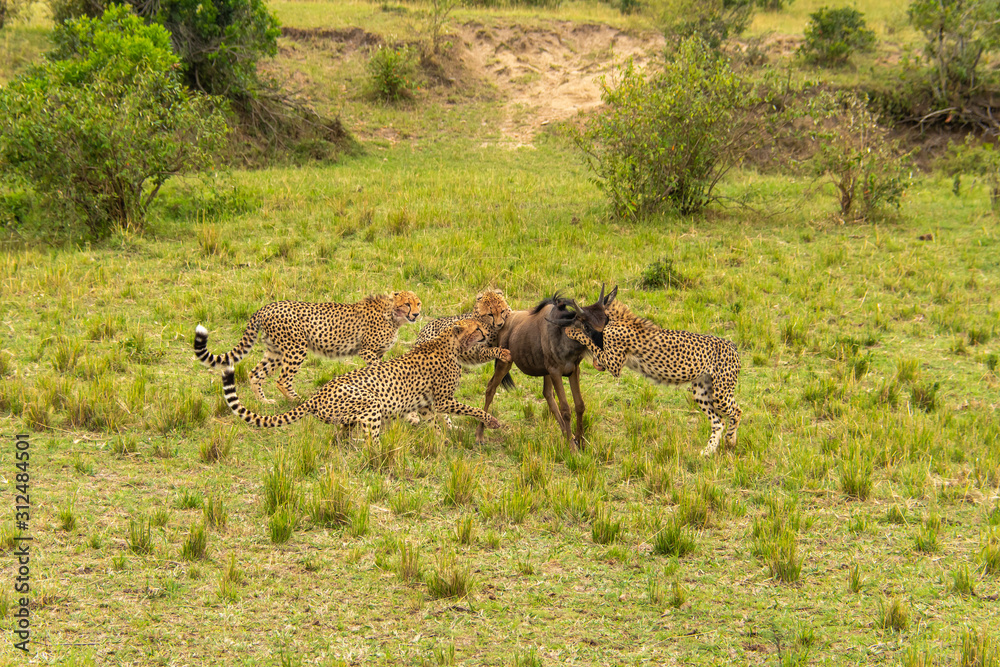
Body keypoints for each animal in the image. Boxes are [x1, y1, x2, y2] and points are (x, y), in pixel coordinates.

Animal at [195, 291, 421, 404]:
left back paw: (264, 402)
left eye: (418, 303)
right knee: (282, 379)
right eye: (408, 303)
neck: (394, 314)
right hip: (296, 348)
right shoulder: (367, 350)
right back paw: (298, 400)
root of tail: (266, 307)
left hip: (275, 351)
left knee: (255, 373)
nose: (418, 314)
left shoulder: (378, 352)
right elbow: (377, 370)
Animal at [221, 319, 511, 444]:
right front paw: (495, 422)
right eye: (477, 328)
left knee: (343, 435)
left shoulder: (428, 404)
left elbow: (434, 424)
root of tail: (316, 394)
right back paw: (385, 455)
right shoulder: (443, 400)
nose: (488, 332)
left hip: (348, 416)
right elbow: (473, 409)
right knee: (372, 442)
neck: (448, 343)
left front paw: (441, 441)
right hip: (370, 404)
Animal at [565, 299, 741, 456]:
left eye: (581, 316)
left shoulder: (614, 363)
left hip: (720, 393)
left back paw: (731, 440)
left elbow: (589, 341)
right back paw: (708, 451)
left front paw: (572, 332)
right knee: (719, 422)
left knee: (737, 411)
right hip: (701, 392)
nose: (571, 319)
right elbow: (594, 347)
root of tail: (732, 344)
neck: (614, 318)